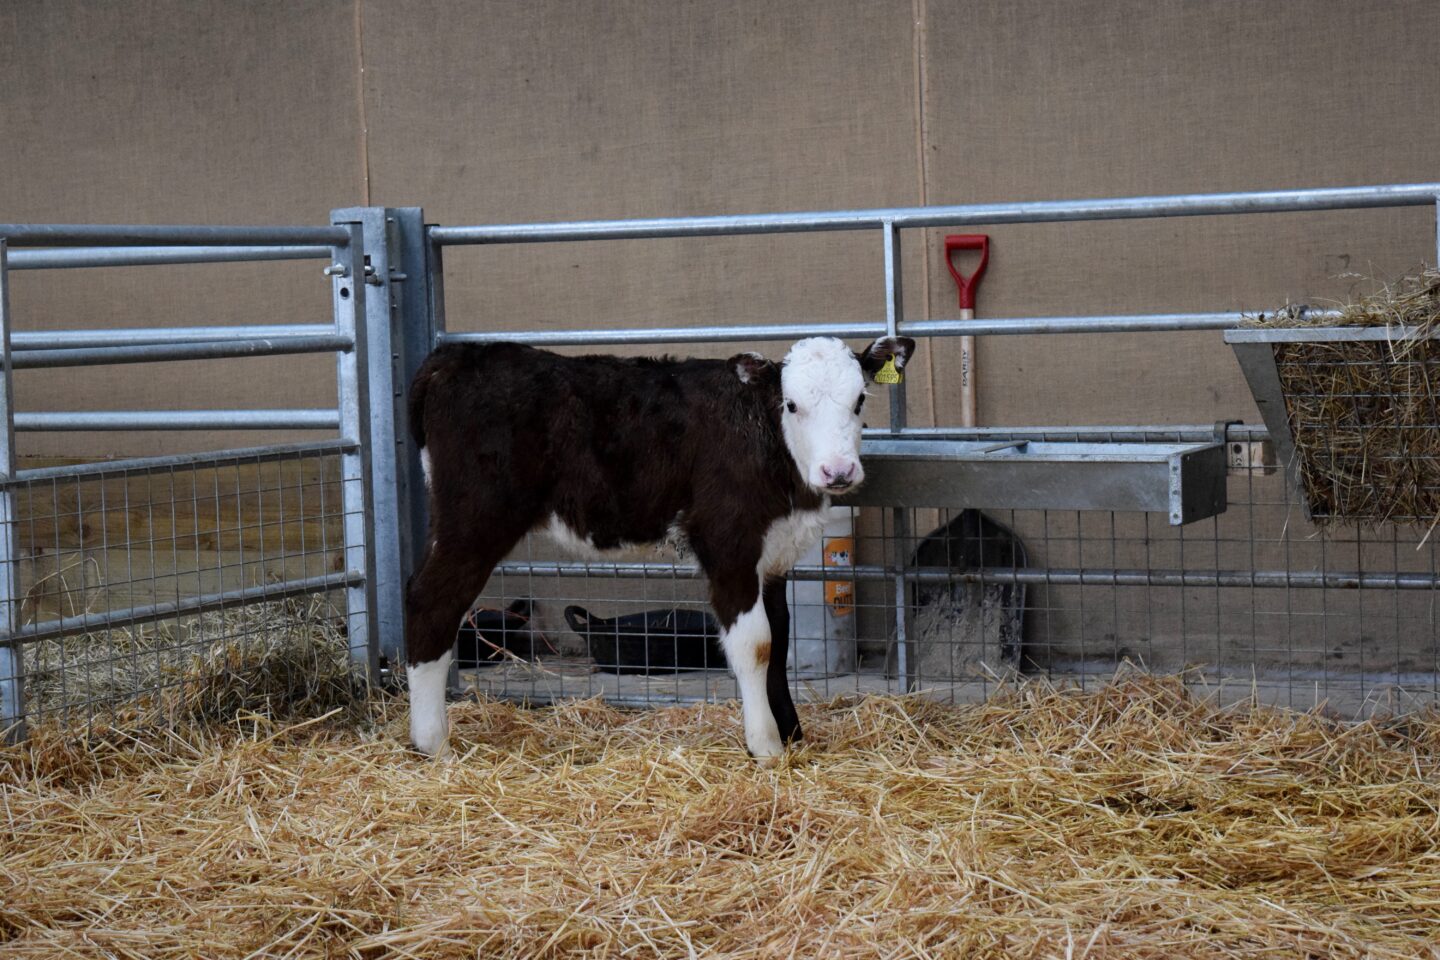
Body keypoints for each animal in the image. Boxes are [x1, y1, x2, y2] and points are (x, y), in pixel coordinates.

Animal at [404, 334, 916, 761]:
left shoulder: (772, 555)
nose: (838, 471)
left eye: (860, 399)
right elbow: (755, 644)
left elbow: (780, 638)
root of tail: (454, 355)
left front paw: (791, 733)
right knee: (430, 601)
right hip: (475, 519)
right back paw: (434, 743)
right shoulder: (727, 541)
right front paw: (766, 746)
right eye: (791, 405)